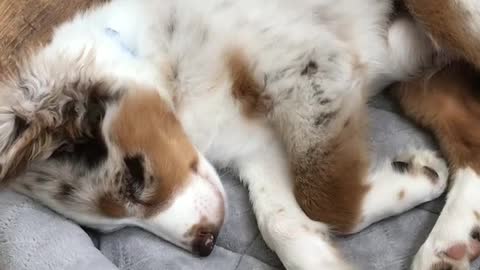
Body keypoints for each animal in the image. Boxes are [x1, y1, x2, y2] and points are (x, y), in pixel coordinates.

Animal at [0, 0, 476, 270]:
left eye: (135, 177)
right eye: (109, 227)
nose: (206, 245)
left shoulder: (310, 64)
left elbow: (325, 197)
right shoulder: (258, 148)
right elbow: (284, 224)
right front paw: (419, 176)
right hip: (422, 86)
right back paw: (450, 243)